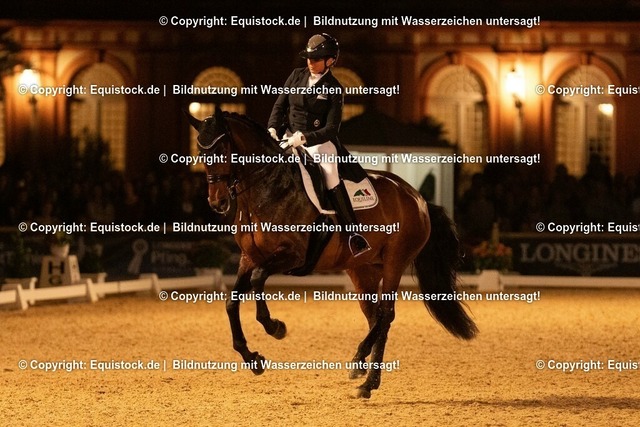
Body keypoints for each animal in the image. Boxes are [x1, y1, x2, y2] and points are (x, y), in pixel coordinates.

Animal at [186, 107, 477, 398]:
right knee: (375, 316)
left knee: (386, 314)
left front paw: (275, 327)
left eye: (222, 149)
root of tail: (418, 198)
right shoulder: (249, 258)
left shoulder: (292, 256)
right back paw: (366, 377)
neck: (268, 189)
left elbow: (258, 279)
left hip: (396, 261)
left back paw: (362, 367)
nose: (218, 202)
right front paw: (252, 358)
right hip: (363, 270)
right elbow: (231, 302)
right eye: (200, 153)